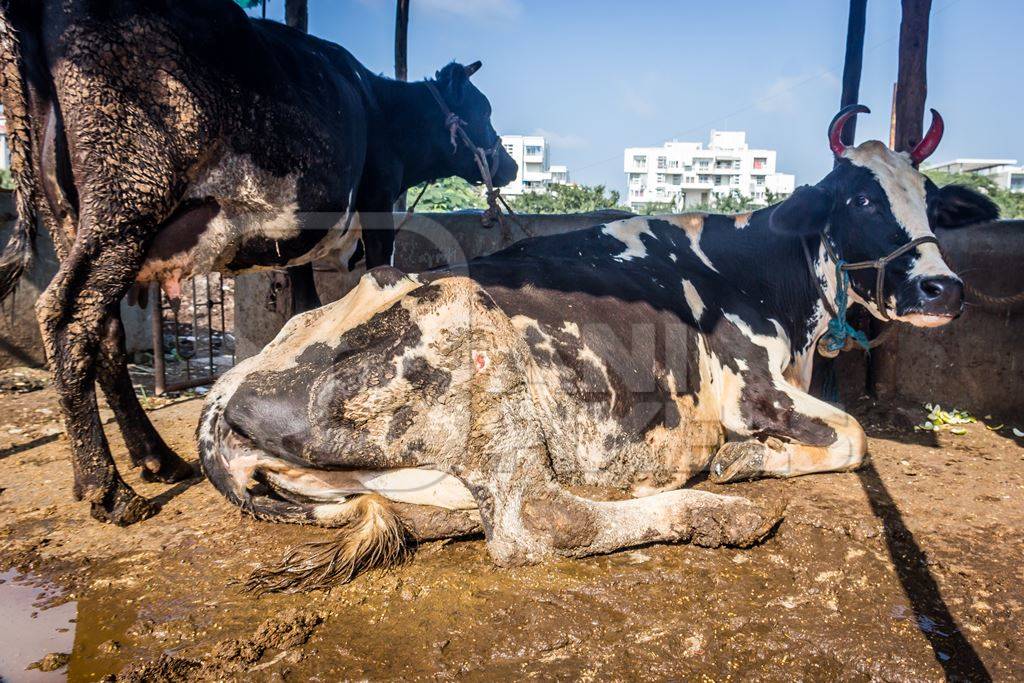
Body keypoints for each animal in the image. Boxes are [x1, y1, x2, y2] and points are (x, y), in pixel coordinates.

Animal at [0, 0, 516, 528]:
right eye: (483, 110)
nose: (512, 165)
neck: (380, 105)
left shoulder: (294, 239)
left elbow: (302, 302)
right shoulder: (376, 198)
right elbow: (376, 268)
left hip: (70, 216)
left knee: (103, 331)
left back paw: (157, 459)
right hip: (127, 194)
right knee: (66, 318)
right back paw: (107, 488)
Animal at [195, 105, 995, 589]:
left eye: (930, 198)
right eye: (858, 199)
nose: (944, 289)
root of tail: (229, 384)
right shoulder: (753, 389)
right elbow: (856, 436)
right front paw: (743, 461)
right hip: (474, 338)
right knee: (537, 521)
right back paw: (717, 511)